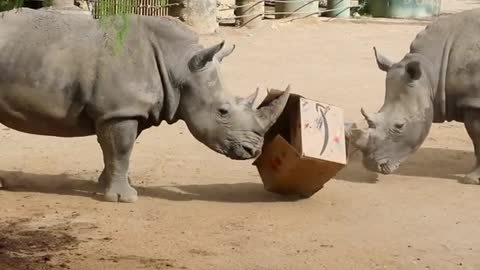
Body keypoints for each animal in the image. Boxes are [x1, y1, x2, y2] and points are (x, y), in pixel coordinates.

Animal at [0, 8, 288, 201]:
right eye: (223, 112)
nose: (253, 151)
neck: (179, 66)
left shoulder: (127, 110)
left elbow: (117, 152)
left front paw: (104, 187)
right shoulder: (119, 111)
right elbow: (121, 150)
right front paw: (123, 199)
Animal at [346, 8, 480, 186]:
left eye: (400, 125)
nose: (372, 166)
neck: (432, 73)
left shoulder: (474, 102)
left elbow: (478, 140)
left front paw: (471, 180)